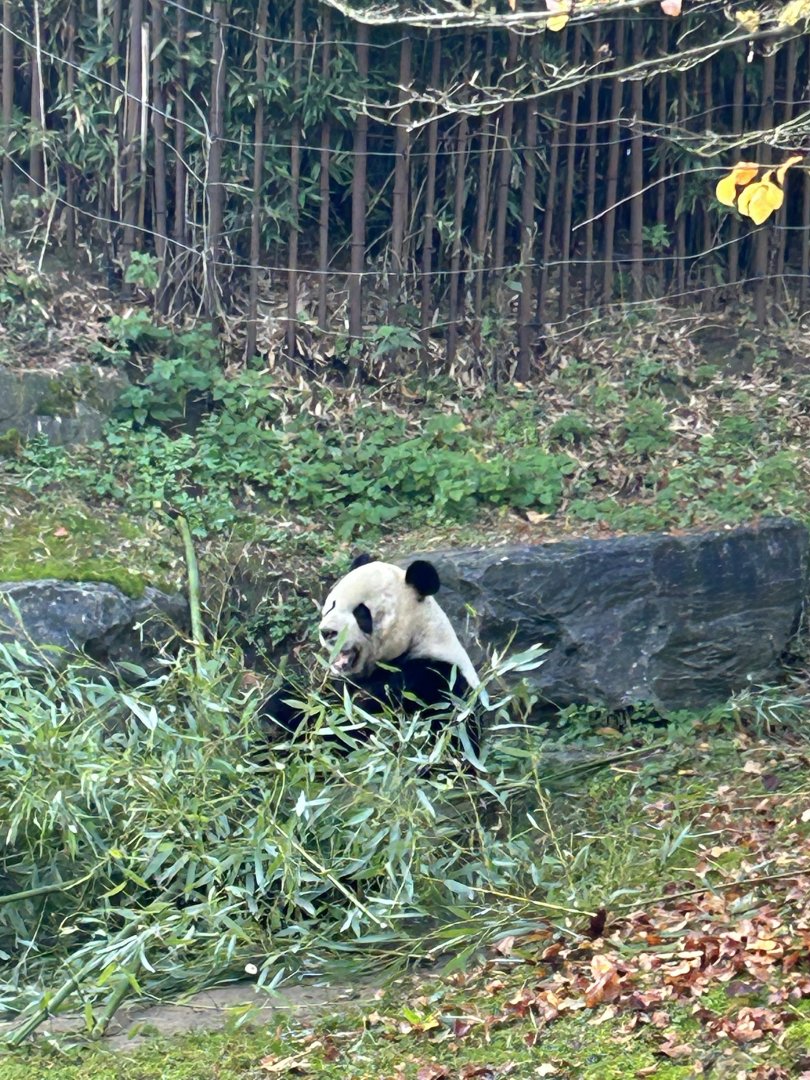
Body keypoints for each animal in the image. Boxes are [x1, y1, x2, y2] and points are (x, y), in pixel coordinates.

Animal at [258, 554, 480, 754]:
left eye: (360, 612)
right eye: (332, 605)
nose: (327, 632)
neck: (418, 638)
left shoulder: (434, 678)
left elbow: (356, 724)